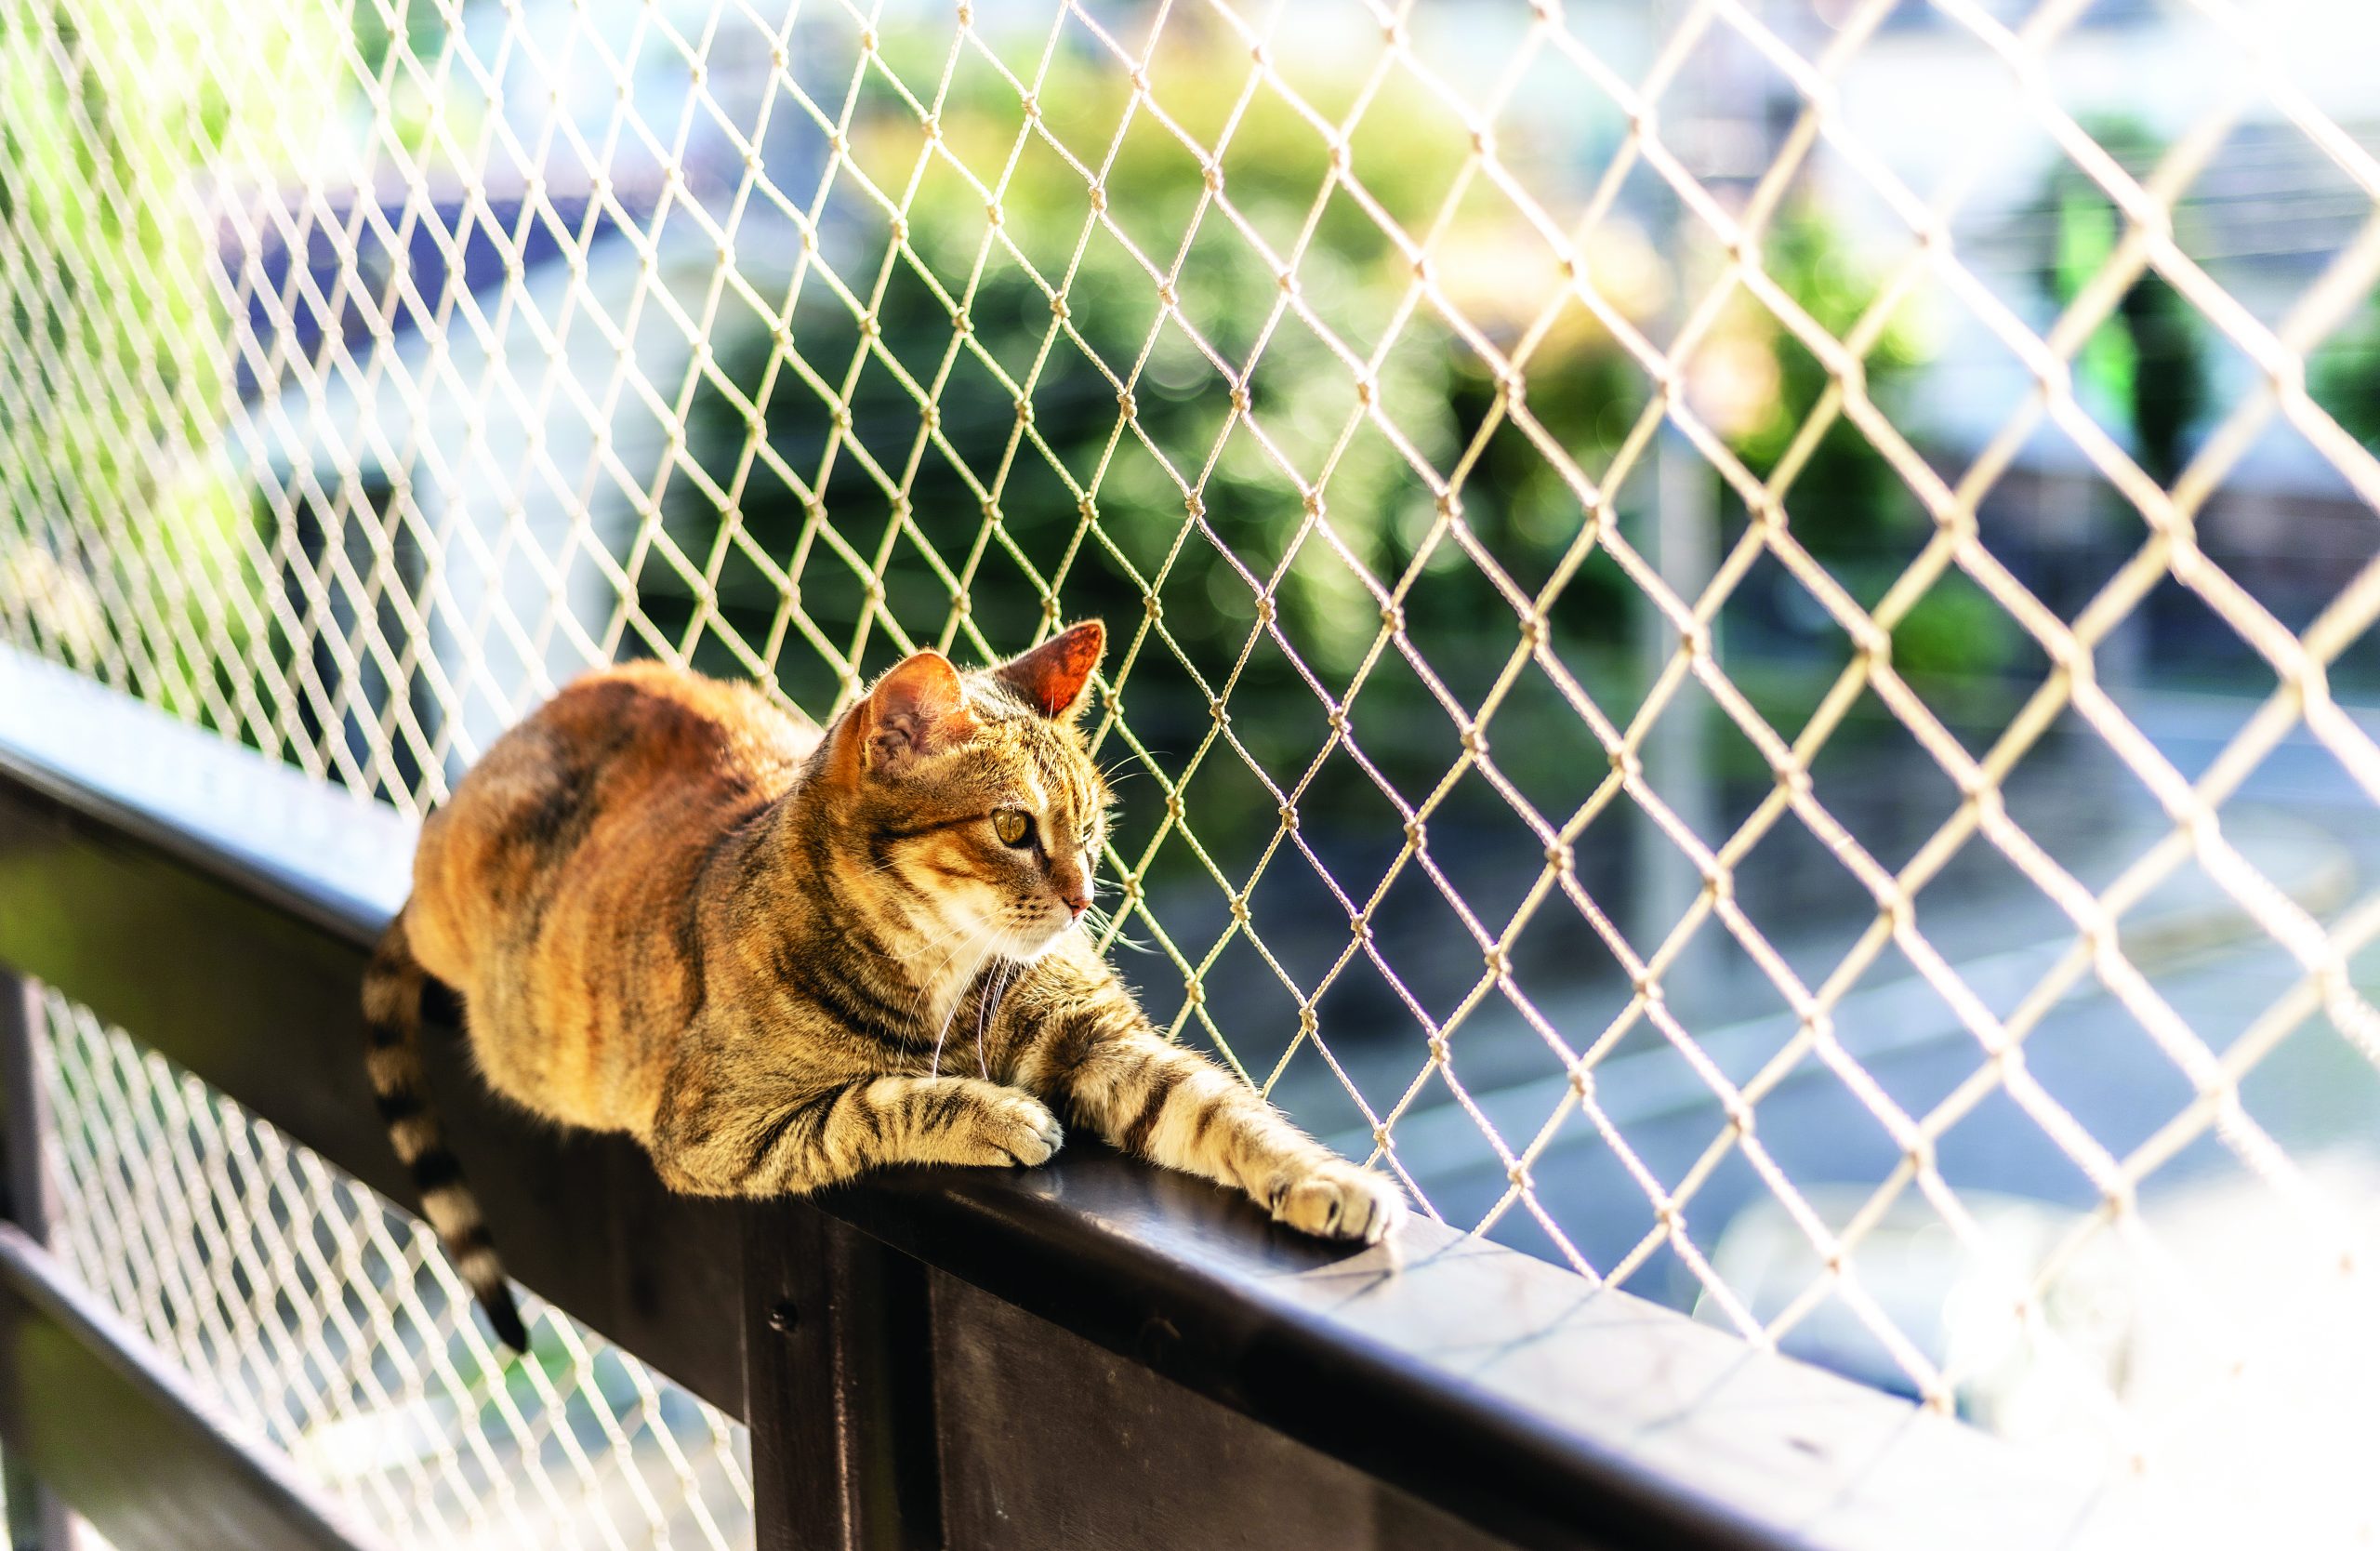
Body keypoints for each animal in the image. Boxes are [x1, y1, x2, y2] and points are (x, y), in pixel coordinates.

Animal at [362, 618, 1399, 1341]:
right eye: (1013, 827)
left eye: (1092, 824)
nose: (1079, 899)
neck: (946, 971)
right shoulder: (712, 1130)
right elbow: (867, 1103)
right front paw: (993, 1114)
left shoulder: (1101, 1039)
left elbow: (1219, 1110)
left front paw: (1325, 1178)